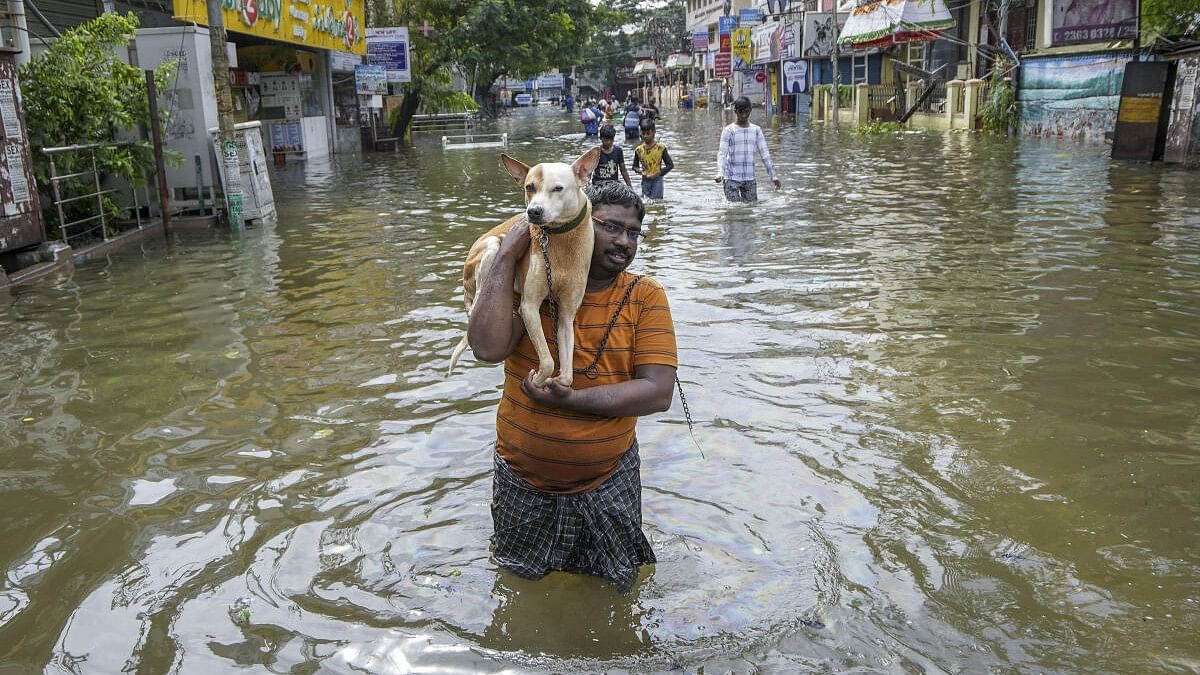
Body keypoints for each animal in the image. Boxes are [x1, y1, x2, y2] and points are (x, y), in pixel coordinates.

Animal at [448, 148, 604, 386]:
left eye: (558, 188)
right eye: (529, 187)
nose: (533, 212)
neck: (560, 238)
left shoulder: (567, 314)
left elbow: (567, 376)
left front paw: (553, 384)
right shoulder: (529, 306)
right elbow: (548, 361)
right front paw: (537, 382)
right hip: (492, 248)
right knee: (477, 303)